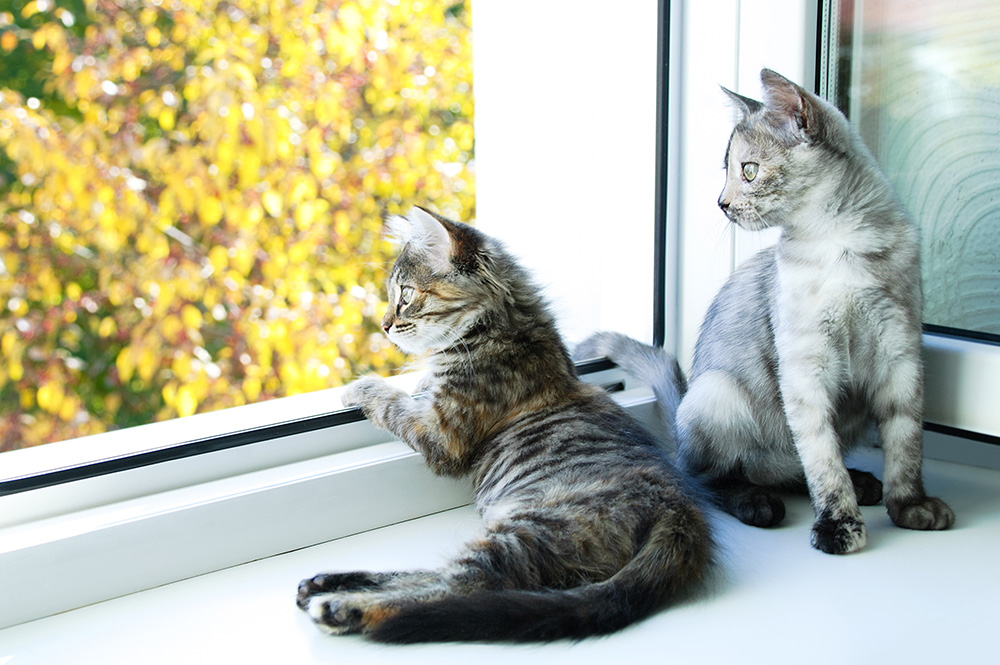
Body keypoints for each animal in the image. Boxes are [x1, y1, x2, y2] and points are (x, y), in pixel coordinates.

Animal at [296, 209, 712, 644]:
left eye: (405, 295)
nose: (384, 325)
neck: (502, 325)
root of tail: (682, 513)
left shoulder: (441, 432)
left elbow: (391, 401)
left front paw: (359, 386)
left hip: (531, 530)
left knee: (461, 583)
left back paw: (342, 606)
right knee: (440, 575)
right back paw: (327, 583)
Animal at [584, 68, 956, 556]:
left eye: (748, 170)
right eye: (729, 172)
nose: (721, 203)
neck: (840, 246)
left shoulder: (901, 357)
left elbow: (905, 444)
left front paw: (911, 507)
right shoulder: (805, 368)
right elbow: (822, 461)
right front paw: (838, 526)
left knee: (792, 471)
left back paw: (861, 483)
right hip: (719, 393)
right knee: (708, 476)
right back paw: (758, 503)